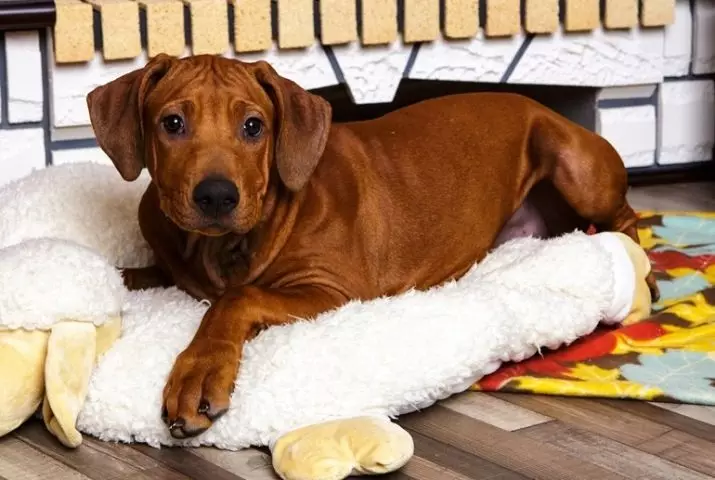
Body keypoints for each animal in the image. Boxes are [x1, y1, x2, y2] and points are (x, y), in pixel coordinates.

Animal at [85, 53, 660, 438]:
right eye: (172, 123)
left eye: (253, 126)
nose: (216, 197)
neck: (218, 248)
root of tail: (540, 103)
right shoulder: (172, 269)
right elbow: (126, 272)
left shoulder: (334, 290)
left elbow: (236, 299)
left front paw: (199, 374)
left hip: (572, 162)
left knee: (625, 216)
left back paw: (646, 274)